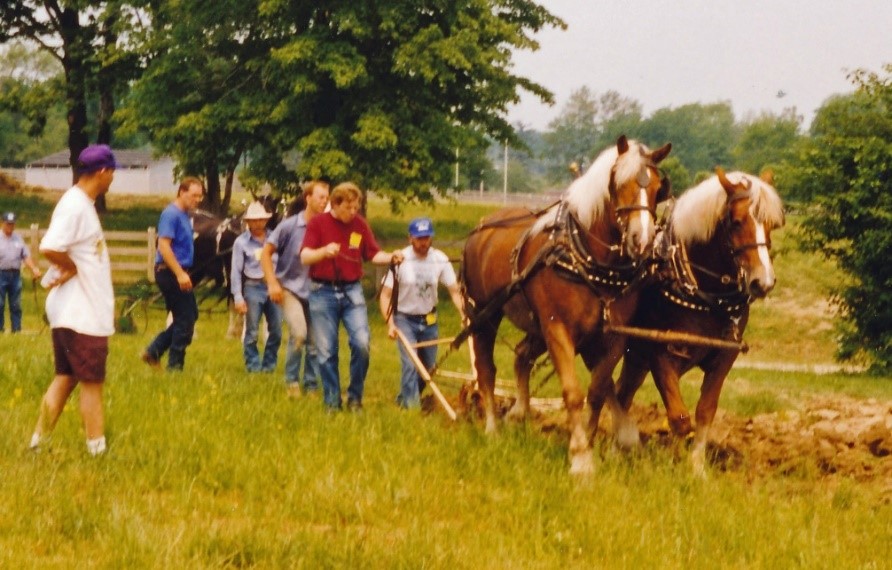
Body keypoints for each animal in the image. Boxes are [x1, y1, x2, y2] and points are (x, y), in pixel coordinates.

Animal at [460, 135, 668, 472]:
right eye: (618, 183)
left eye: (658, 187)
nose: (642, 239)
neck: (588, 258)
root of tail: (484, 225)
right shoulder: (558, 329)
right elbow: (572, 392)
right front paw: (580, 457)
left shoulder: (612, 336)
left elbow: (597, 391)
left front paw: (591, 442)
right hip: (484, 314)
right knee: (486, 368)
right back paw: (492, 428)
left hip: (534, 325)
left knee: (522, 355)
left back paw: (519, 413)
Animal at [608, 165, 784, 474]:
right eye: (736, 222)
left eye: (771, 224)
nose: (763, 282)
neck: (704, 292)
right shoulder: (661, 353)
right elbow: (679, 417)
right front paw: (674, 461)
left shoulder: (724, 357)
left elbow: (704, 411)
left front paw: (696, 467)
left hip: (636, 356)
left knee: (623, 394)